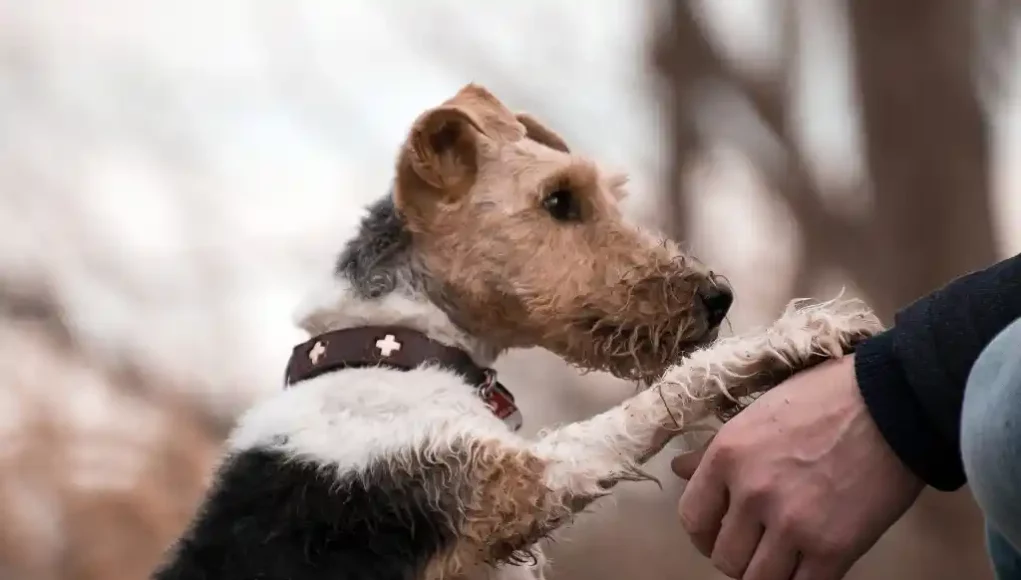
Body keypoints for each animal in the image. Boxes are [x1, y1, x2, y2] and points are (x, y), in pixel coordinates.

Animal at [151, 82, 886, 580]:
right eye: (558, 200)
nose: (717, 296)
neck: (395, 348)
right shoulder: (517, 486)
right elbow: (656, 400)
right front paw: (804, 332)